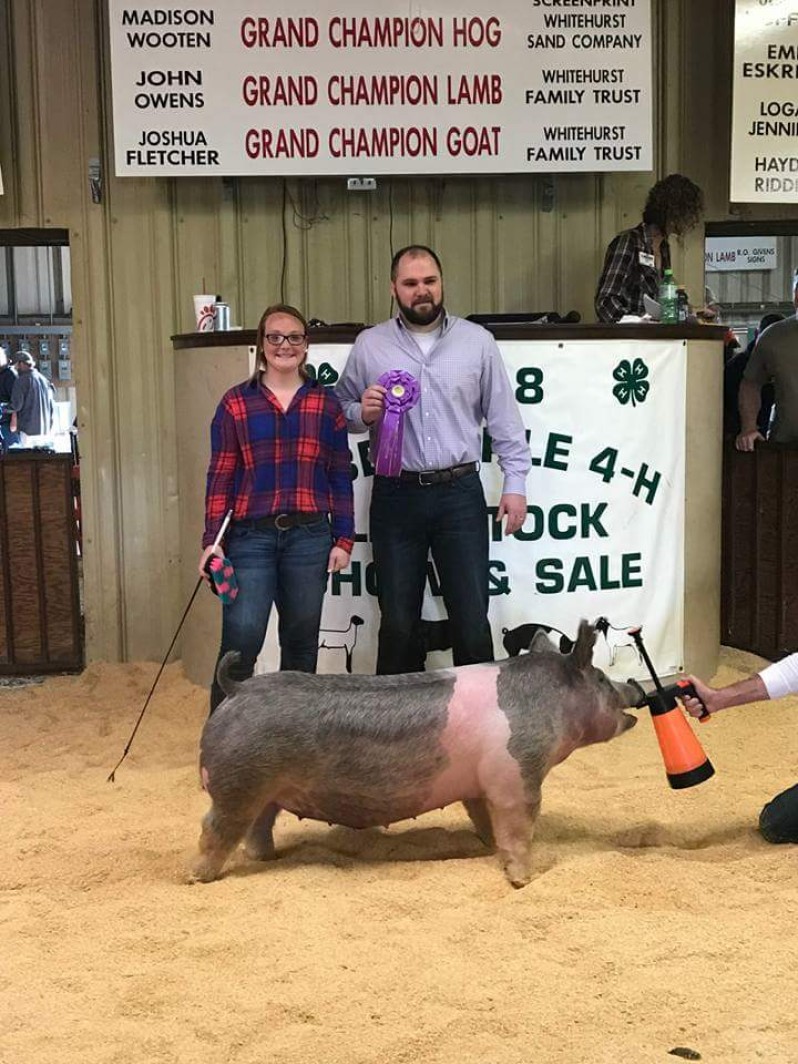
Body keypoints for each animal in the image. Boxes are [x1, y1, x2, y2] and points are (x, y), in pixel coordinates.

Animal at [192, 621, 642, 885]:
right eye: (602, 679)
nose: (635, 686)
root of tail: (238, 689)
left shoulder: (479, 785)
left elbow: (486, 821)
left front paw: (486, 847)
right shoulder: (516, 775)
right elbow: (518, 827)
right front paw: (522, 880)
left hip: (264, 791)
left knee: (257, 828)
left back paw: (266, 859)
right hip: (237, 785)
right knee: (215, 828)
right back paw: (198, 877)